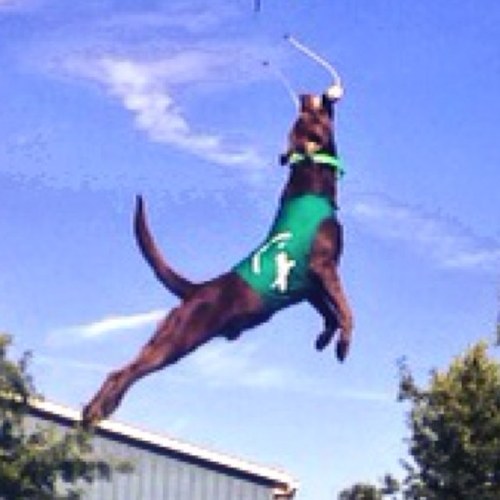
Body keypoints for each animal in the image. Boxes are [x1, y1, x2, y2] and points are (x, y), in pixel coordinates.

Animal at [83, 82, 352, 426]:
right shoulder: (324, 268)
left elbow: (330, 314)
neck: (311, 180)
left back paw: (100, 408)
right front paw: (343, 344)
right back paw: (96, 410)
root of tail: (197, 290)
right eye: (309, 114)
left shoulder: (309, 287)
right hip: (179, 337)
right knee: (122, 373)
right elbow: (346, 310)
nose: (306, 95)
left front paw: (324, 339)